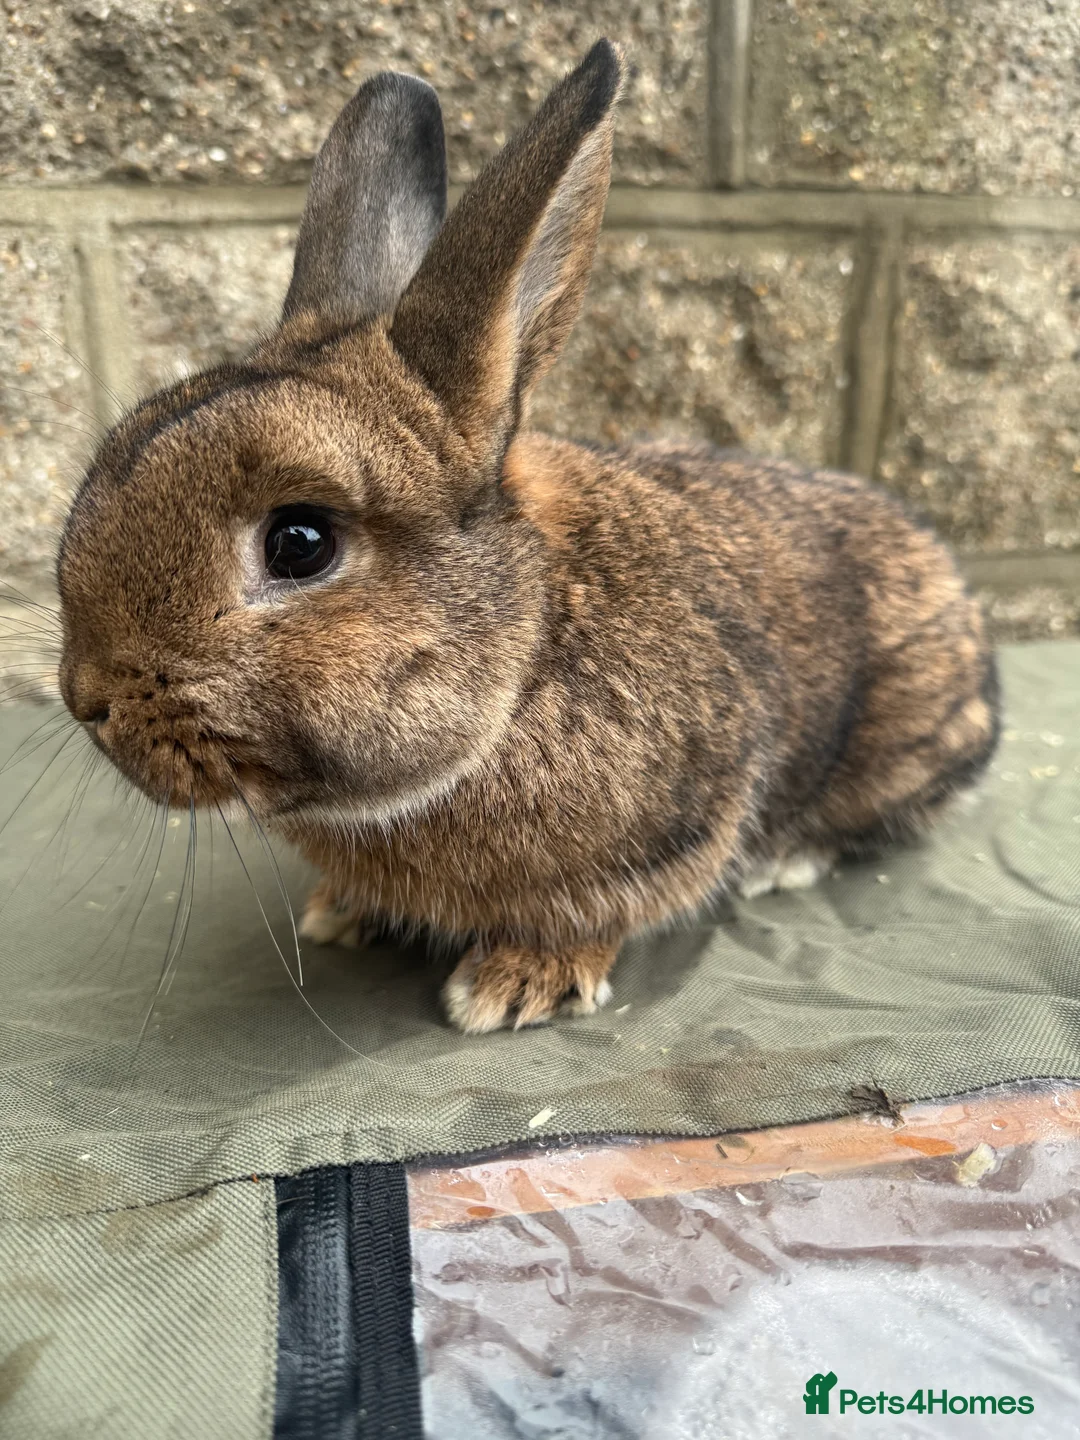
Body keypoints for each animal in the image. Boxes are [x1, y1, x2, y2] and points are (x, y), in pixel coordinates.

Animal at [56, 40, 999, 1033]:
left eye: (299, 543)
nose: (86, 697)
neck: (528, 654)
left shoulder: (679, 825)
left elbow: (601, 911)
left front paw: (511, 987)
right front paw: (339, 915)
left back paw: (787, 860)